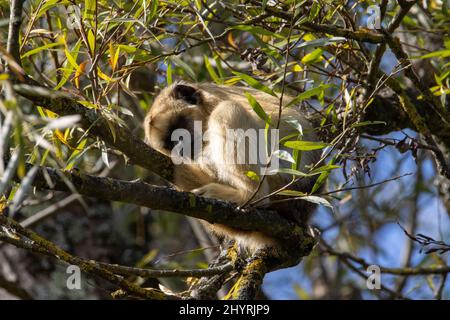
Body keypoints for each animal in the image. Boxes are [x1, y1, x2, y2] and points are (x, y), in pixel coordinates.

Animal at [144, 82, 320, 252]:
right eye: (170, 144)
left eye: (178, 132)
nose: (181, 150)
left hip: (286, 179)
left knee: (227, 111)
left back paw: (249, 196)